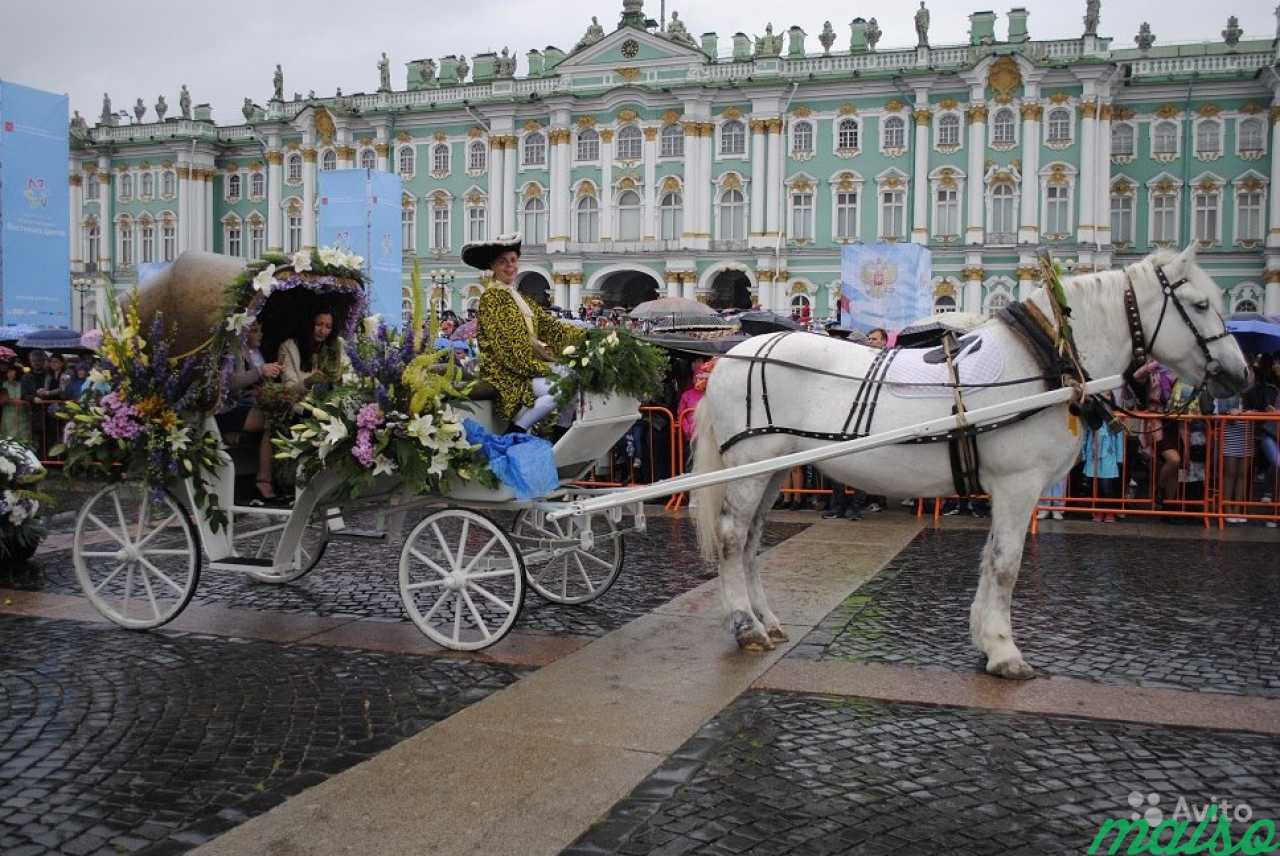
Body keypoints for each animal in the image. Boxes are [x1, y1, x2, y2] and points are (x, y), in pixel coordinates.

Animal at [696, 245, 1244, 675]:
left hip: (770, 470)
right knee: (732, 537)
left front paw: (985, 640)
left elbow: (990, 560)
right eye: (1199, 304)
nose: (1241, 375)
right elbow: (1005, 564)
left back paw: (765, 621)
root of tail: (731, 356)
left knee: (751, 540)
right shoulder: (1019, 483)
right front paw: (1004, 651)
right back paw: (745, 627)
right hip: (752, 465)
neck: (1044, 362)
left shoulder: (1007, 489)